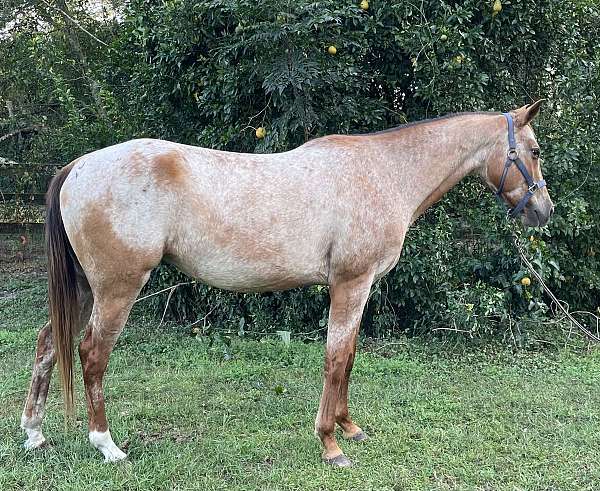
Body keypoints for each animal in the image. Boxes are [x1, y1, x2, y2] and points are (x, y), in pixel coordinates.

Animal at [19, 101, 552, 468]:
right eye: (534, 151)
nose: (542, 212)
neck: (383, 172)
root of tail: (79, 166)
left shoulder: (358, 288)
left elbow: (349, 357)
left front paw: (349, 427)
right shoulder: (350, 284)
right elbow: (335, 359)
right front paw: (331, 444)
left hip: (84, 288)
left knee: (48, 344)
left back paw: (34, 433)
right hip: (117, 289)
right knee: (91, 354)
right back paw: (107, 445)